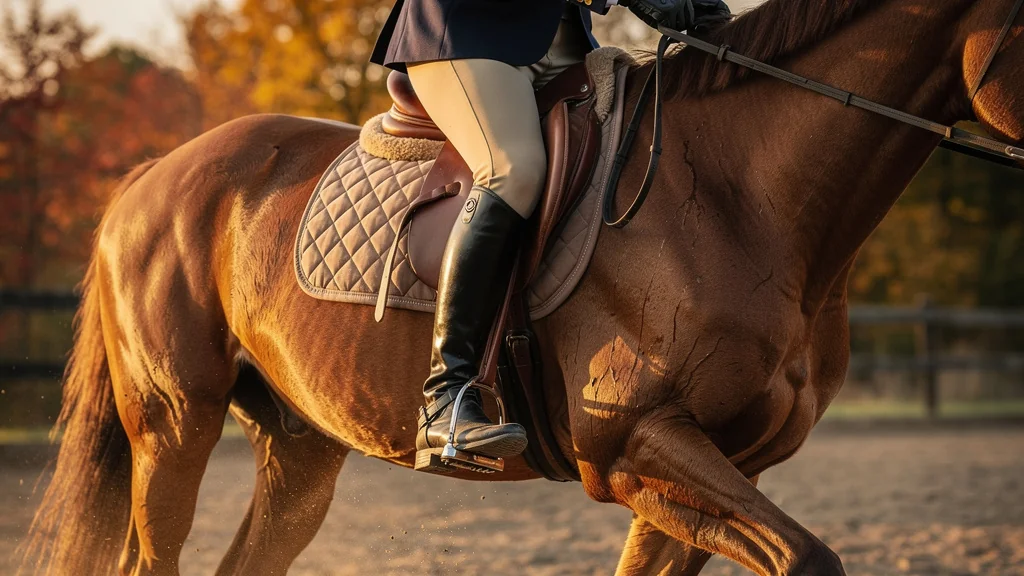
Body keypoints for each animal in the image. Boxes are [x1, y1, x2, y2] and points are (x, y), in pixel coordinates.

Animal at [19, 0, 1023, 574]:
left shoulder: (705, 469)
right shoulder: (633, 447)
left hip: (299, 449)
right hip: (174, 425)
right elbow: (809, 559)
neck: (739, 193)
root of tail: (150, 176)